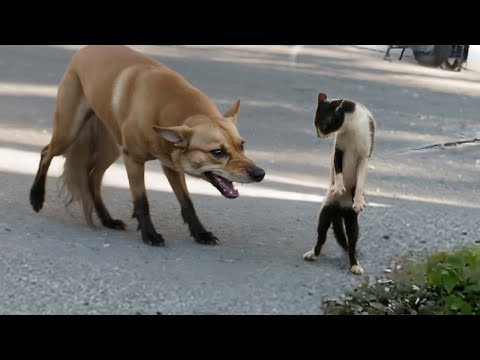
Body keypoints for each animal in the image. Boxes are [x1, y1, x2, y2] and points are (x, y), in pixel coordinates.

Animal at [29, 45, 266, 246]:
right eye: (217, 152)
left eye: (241, 145)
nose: (260, 174)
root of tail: (85, 50)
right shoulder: (133, 160)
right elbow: (142, 202)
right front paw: (150, 234)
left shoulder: (170, 165)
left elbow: (187, 203)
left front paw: (200, 233)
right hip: (69, 133)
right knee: (46, 152)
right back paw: (36, 197)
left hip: (111, 148)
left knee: (93, 178)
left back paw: (107, 219)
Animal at [304, 91, 376, 274]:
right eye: (314, 123)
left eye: (322, 124)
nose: (318, 135)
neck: (351, 127)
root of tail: (339, 211)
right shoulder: (338, 150)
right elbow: (338, 170)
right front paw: (338, 186)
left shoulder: (364, 156)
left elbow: (361, 181)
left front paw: (359, 199)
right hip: (325, 212)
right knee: (321, 236)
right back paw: (313, 254)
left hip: (352, 220)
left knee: (351, 243)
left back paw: (355, 265)